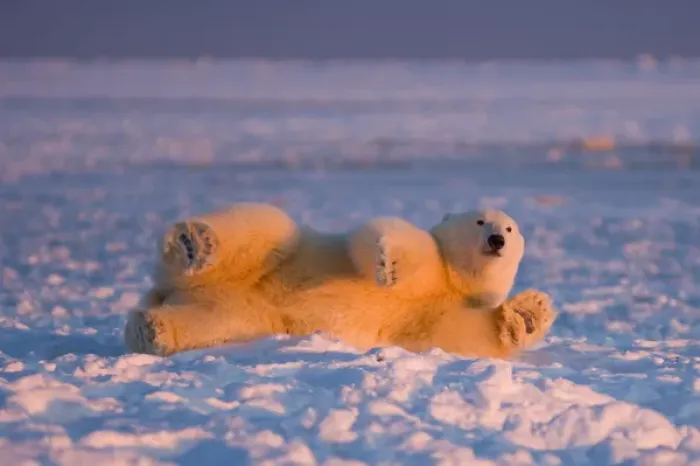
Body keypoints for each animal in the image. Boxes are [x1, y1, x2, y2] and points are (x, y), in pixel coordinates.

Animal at [124, 202, 557, 359]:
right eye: (480, 221)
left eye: (510, 228)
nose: (498, 240)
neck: (454, 281)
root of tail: (169, 287)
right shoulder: (434, 260)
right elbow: (383, 239)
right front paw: (389, 266)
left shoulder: (437, 313)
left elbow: (460, 333)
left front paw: (527, 315)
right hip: (273, 254)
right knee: (264, 226)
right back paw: (194, 243)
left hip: (243, 313)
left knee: (211, 319)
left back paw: (150, 329)